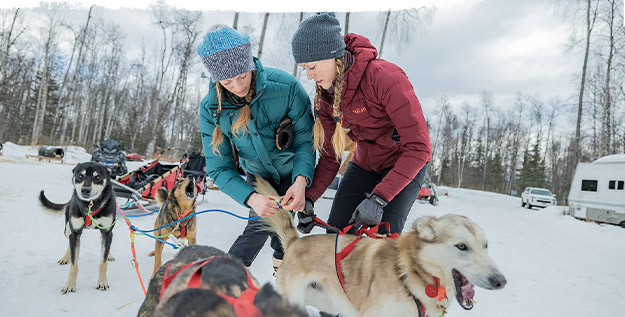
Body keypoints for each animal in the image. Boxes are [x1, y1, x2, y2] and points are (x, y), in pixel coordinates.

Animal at [39, 162, 117, 292]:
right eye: (80, 176)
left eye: (97, 177)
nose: (85, 190)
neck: (90, 205)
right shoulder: (75, 233)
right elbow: (74, 264)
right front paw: (70, 285)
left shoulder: (107, 231)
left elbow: (103, 262)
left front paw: (102, 282)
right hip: (67, 229)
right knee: (70, 243)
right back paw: (66, 257)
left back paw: (109, 254)